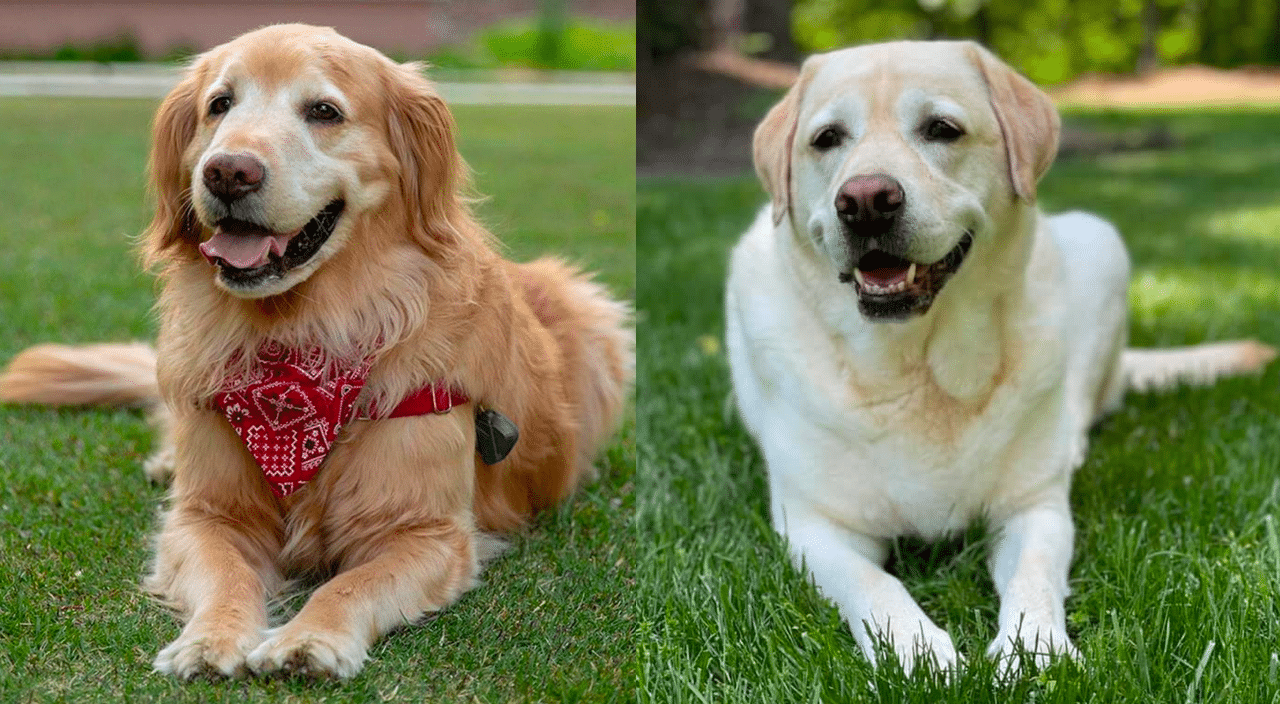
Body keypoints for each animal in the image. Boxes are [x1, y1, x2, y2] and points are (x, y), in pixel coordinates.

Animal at [2, 24, 632, 680]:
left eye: (324, 111)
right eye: (219, 104)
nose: (227, 172)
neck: (303, 341)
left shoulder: (426, 533)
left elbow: (348, 585)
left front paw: (309, 639)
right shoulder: (206, 515)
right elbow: (226, 574)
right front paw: (211, 638)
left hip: (598, 317)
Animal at [727, 40, 1274, 680]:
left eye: (942, 129)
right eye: (827, 139)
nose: (864, 202)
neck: (914, 366)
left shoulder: (1034, 510)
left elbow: (1034, 576)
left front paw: (1035, 649)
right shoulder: (814, 527)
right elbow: (872, 582)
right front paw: (915, 648)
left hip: (1102, 244)